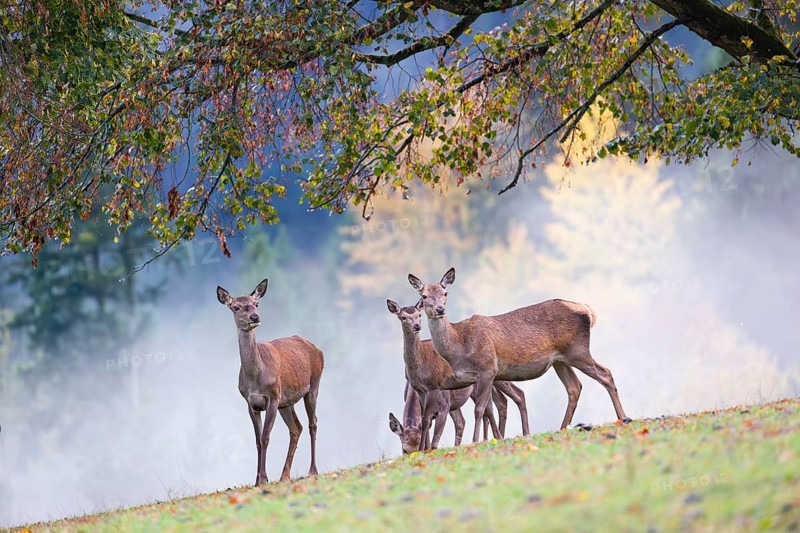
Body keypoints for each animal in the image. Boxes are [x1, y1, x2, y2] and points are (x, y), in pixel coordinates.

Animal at [217, 279, 324, 486]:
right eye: (236, 307)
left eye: (256, 303)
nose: (255, 317)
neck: (255, 379)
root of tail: (317, 349)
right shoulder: (251, 403)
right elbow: (258, 440)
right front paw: (257, 480)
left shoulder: (273, 397)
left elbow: (265, 437)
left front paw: (263, 478)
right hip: (287, 402)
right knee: (296, 428)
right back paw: (284, 475)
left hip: (313, 385)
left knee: (312, 423)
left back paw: (313, 470)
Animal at [387, 298, 530, 451]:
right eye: (404, 450)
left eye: (419, 315)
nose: (417, 326)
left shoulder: (444, 403)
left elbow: (434, 434)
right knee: (493, 406)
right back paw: (496, 437)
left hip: (496, 374)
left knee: (514, 395)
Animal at [409, 267, 630, 443]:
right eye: (424, 296)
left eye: (445, 293)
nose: (440, 309)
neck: (459, 348)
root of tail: (588, 310)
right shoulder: (475, 377)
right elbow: (487, 409)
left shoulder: (487, 368)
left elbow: (479, 409)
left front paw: (475, 441)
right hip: (560, 360)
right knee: (574, 387)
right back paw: (562, 428)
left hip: (578, 350)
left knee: (605, 374)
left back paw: (623, 417)